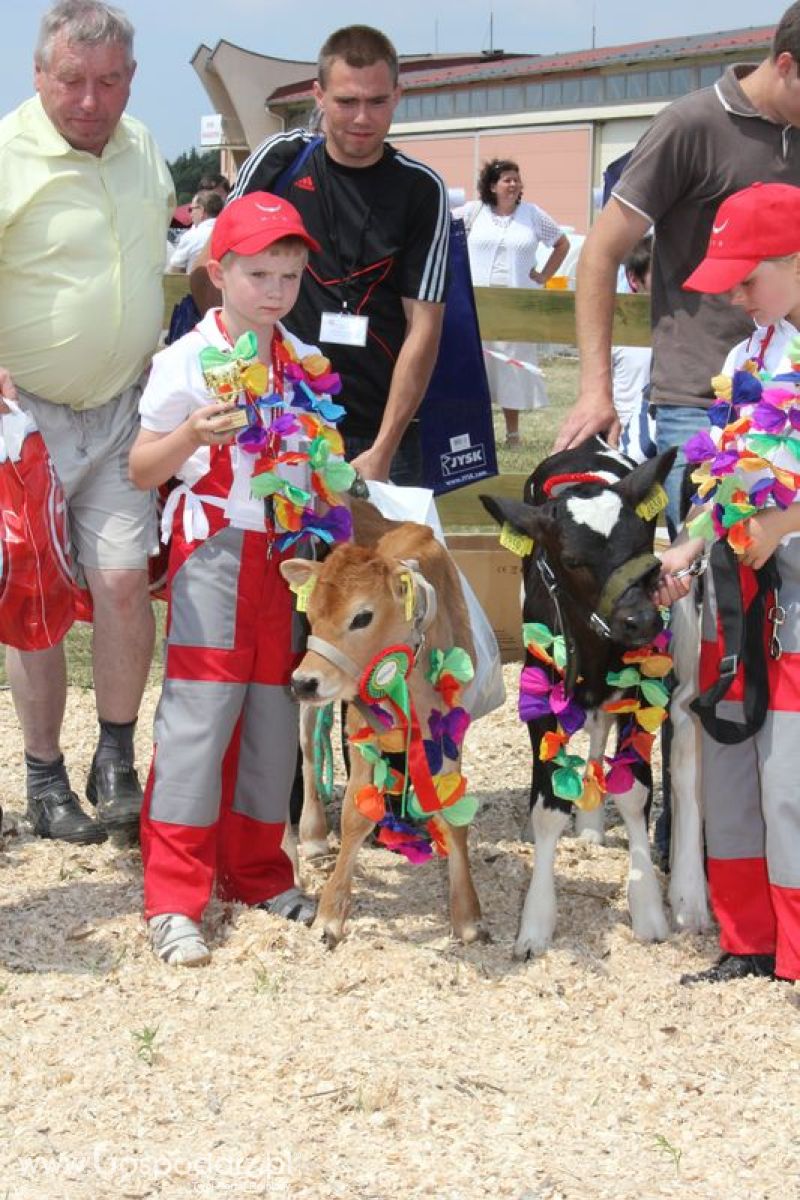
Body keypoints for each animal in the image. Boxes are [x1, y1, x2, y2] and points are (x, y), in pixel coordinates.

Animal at [482, 436, 676, 960]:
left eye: (645, 546)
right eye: (571, 561)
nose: (640, 620)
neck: (593, 647)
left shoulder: (640, 689)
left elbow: (633, 792)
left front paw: (647, 906)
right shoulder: (541, 691)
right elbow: (548, 806)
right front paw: (536, 921)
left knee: (599, 726)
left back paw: (589, 820)